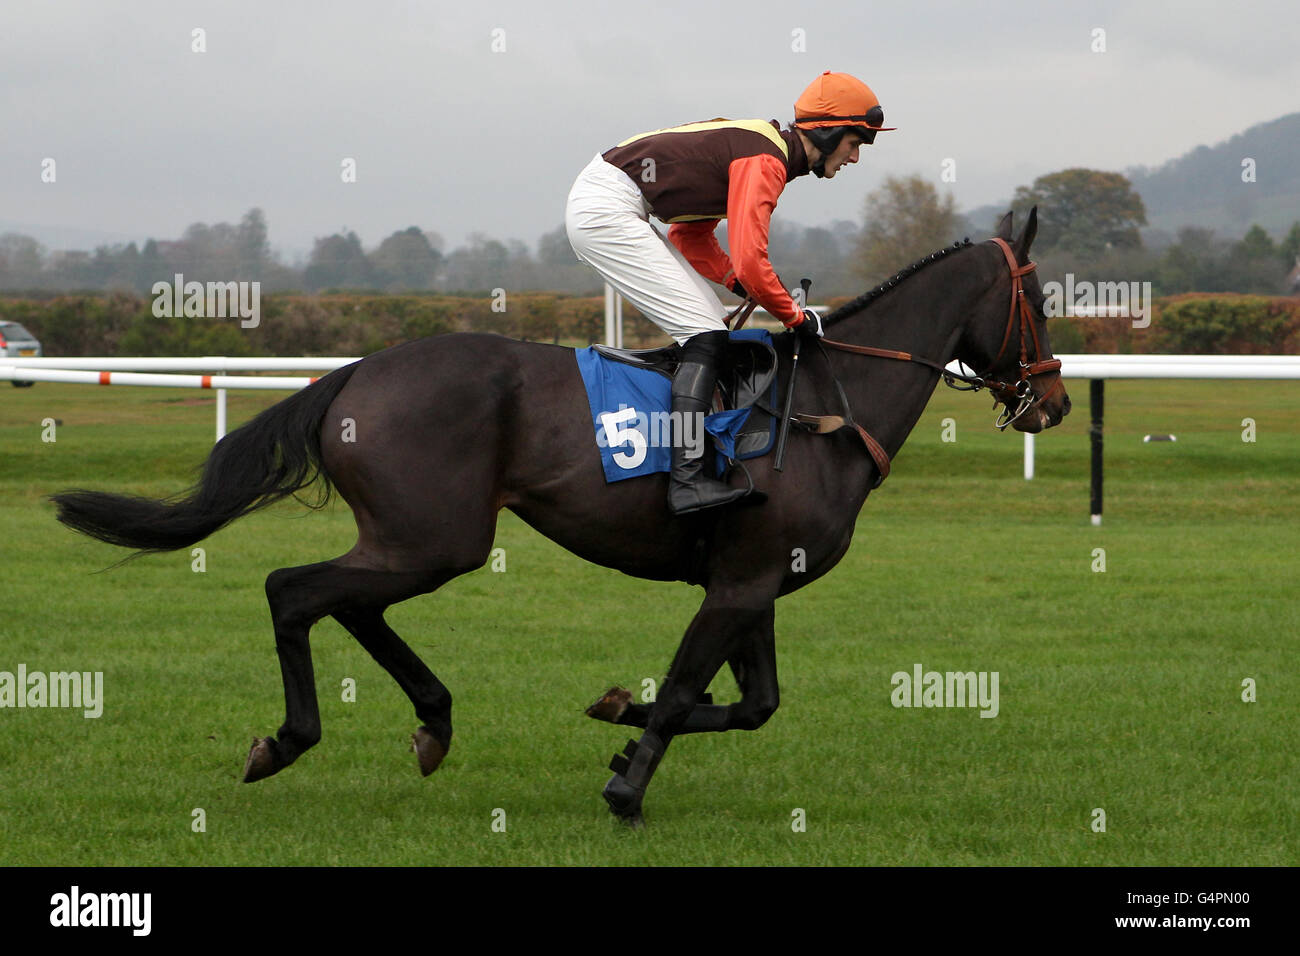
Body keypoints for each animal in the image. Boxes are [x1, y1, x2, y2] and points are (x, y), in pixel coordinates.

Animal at [50, 208, 1066, 822]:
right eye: (1041, 299)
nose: (1052, 402)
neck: (827, 405)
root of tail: (354, 373)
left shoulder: (753, 581)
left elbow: (753, 705)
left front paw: (618, 721)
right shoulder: (739, 582)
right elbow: (693, 691)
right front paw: (628, 787)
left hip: (415, 538)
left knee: (347, 601)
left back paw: (433, 721)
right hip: (438, 538)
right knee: (293, 590)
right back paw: (290, 739)